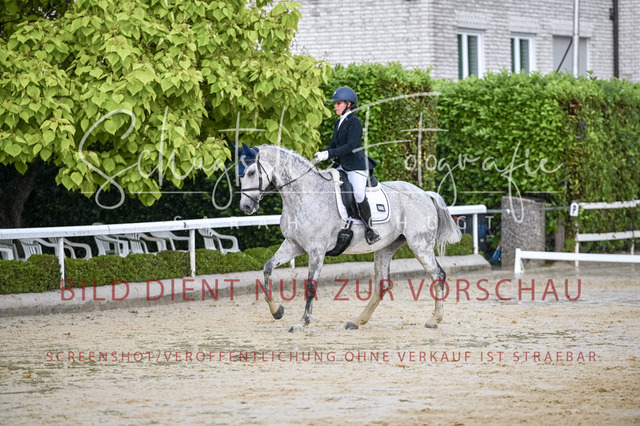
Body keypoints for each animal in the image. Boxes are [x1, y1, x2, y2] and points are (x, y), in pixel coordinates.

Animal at [236, 144, 461, 332]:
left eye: (251, 172)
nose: (246, 207)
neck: (305, 194)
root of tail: (425, 194)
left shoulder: (316, 250)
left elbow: (310, 285)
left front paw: (302, 322)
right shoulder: (294, 245)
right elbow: (267, 268)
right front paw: (277, 311)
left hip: (420, 245)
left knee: (438, 275)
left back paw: (434, 319)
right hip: (386, 247)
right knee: (382, 284)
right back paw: (357, 321)